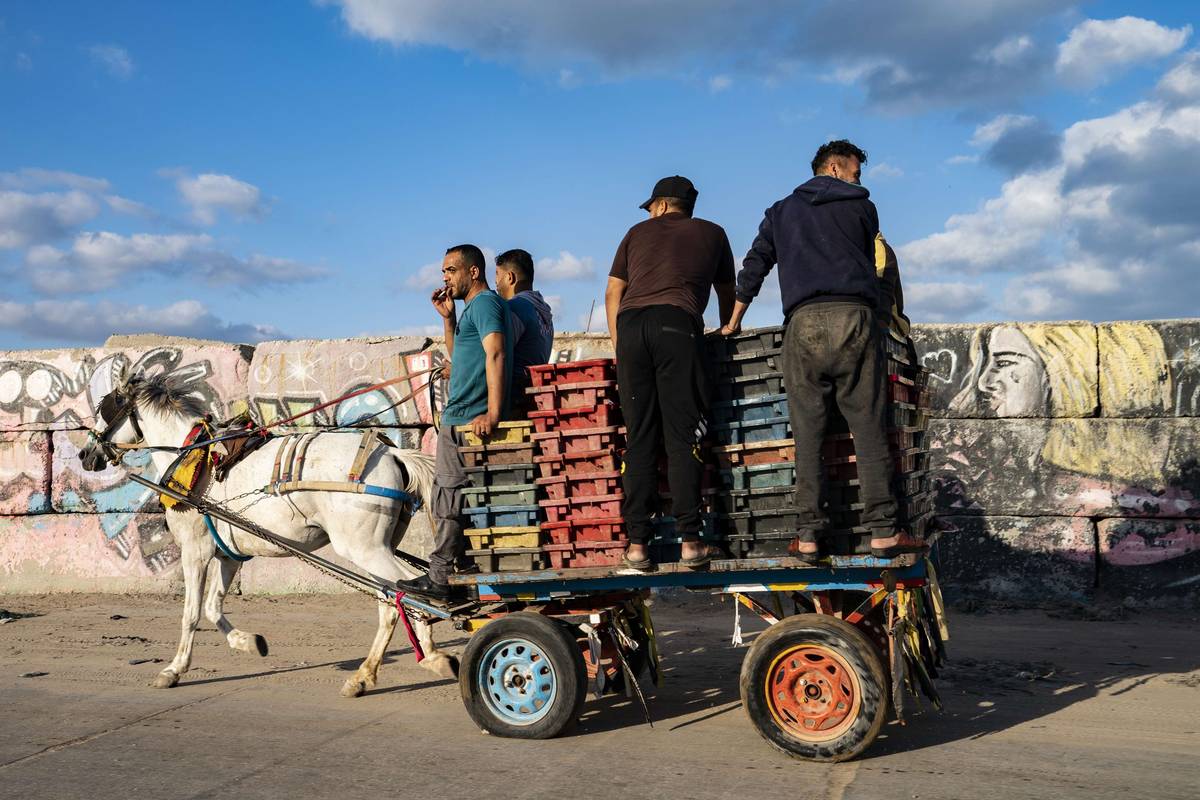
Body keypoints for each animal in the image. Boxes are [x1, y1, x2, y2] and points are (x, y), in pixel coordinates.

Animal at [76, 371, 458, 695]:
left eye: (106, 407)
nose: (85, 453)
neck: (193, 455)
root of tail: (392, 451)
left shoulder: (195, 551)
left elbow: (192, 612)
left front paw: (174, 669)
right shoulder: (229, 555)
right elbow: (213, 607)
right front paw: (249, 642)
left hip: (364, 549)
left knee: (408, 594)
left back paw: (424, 657)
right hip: (376, 548)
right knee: (392, 599)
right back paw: (376, 672)